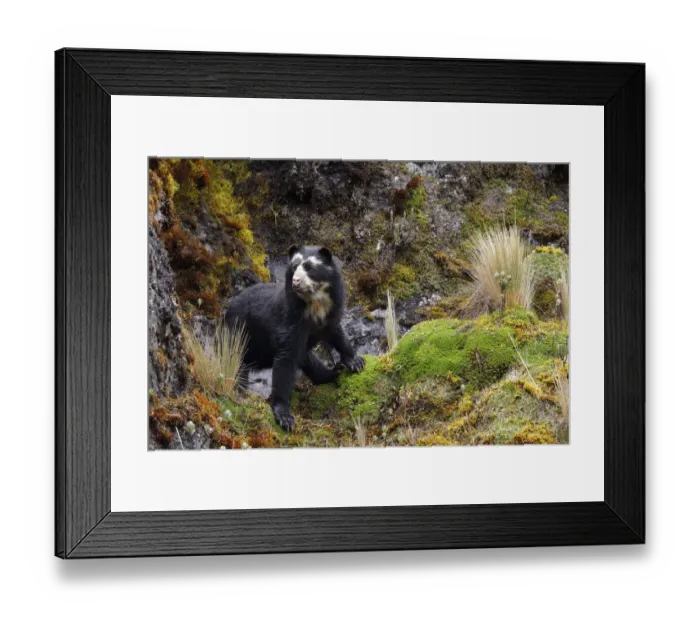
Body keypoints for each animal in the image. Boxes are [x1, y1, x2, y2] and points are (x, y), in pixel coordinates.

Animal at [225, 245, 365, 431]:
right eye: (294, 267)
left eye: (309, 267)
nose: (295, 281)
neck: (315, 303)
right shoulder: (291, 318)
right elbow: (286, 359)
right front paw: (284, 416)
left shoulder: (331, 311)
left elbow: (337, 333)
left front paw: (355, 362)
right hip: (238, 332)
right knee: (237, 360)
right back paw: (241, 389)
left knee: (308, 359)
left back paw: (334, 371)